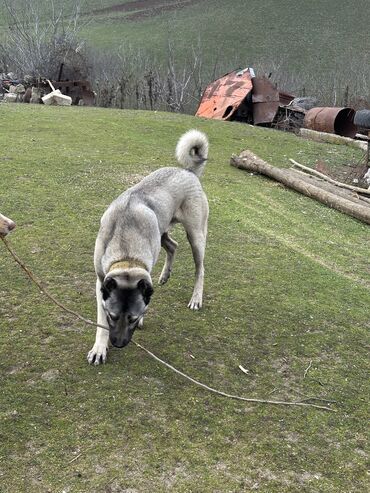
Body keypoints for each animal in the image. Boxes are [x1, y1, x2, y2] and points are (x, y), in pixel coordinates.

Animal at [86, 129, 208, 364]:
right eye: (113, 316)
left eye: (133, 318)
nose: (119, 343)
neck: (126, 256)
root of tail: (188, 171)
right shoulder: (100, 282)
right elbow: (100, 321)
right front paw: (100, 347)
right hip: (162, 230)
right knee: (173, 245)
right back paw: (165, 275)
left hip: (196, 235)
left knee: (200, 268)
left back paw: (196, 298)